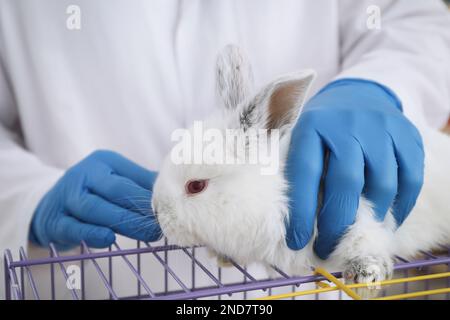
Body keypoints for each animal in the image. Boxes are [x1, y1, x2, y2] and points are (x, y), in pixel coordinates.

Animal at [151, 44, 450, 298]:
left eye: (196, 186)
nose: (156, 210)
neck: (272, 195)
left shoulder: (357, 216)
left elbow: (367, 241)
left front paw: (366, 274)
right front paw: (221, 256)